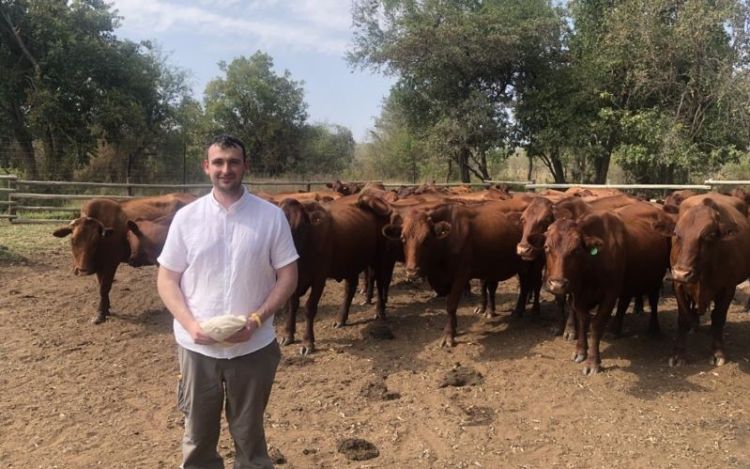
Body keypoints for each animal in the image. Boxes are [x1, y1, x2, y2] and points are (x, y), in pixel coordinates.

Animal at [668, 194, 750, 366]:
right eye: (677, 234)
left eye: (710, 235)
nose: (681, 273)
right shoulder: (678, 286)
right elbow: (683, 318)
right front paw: (678, 354)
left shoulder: (728, 288)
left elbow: (718, 318)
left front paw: (718, 352)